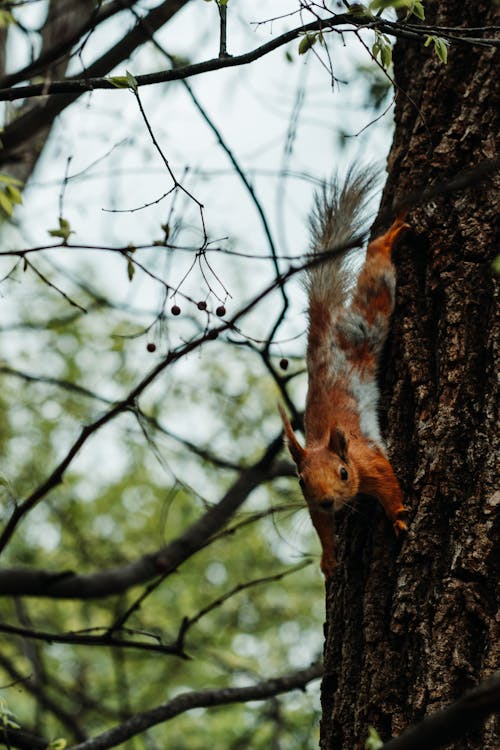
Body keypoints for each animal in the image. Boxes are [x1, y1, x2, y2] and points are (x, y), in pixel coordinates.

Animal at [280, 169, 408, 580]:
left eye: (342, 473)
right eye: (301, 481)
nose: (327, 501)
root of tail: (322, 332)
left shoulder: (369, 461)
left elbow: (389, 484)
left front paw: (398, 516)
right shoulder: (314, 506)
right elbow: (322, 528)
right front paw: (329, 559)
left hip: (366, 322)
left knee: (376, 280)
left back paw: (386, 240)